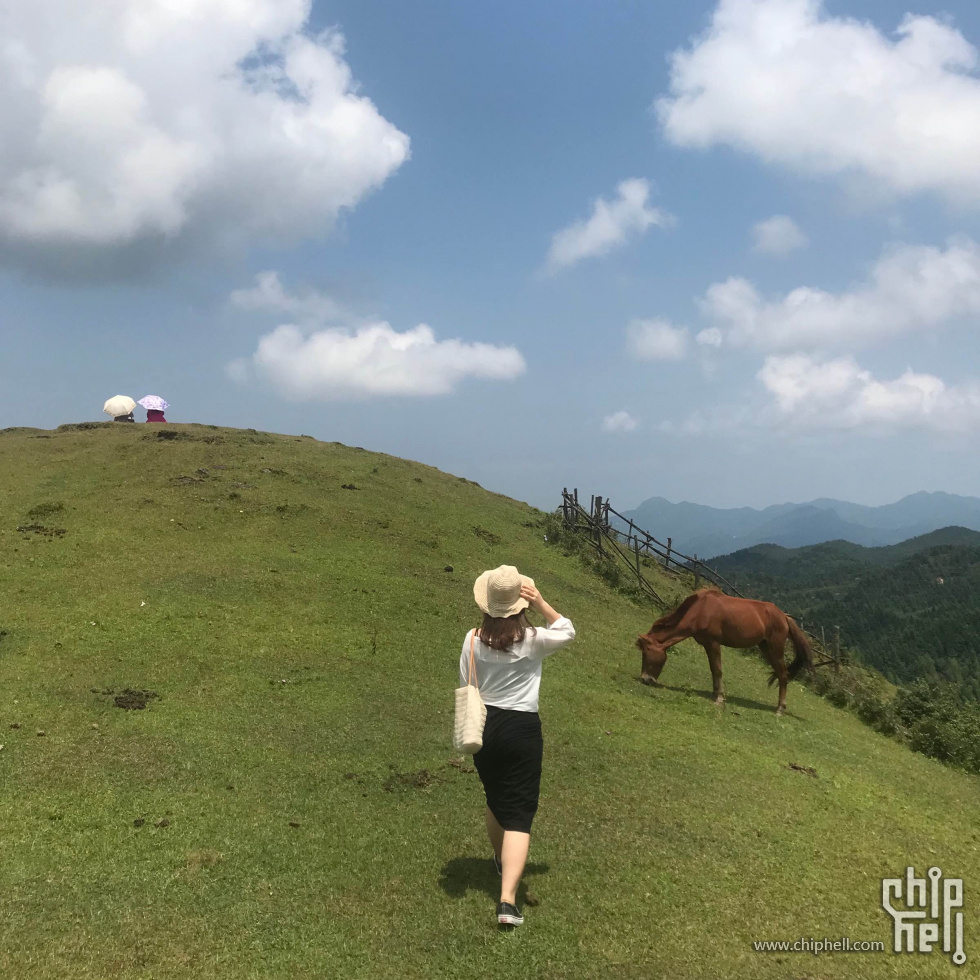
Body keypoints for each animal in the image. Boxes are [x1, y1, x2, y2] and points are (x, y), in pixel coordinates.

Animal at [636, 588, 812, 712]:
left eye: (646, 653)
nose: (645, 679)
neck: (701, 610)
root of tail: (784, 617)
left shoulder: (714, 643)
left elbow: (718, 669)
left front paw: (719, 698)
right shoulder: (707, 644)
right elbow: (713, 669)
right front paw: (715, 694)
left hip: (775, 649)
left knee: (783, 675)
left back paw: (780, 708)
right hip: (766, 648)